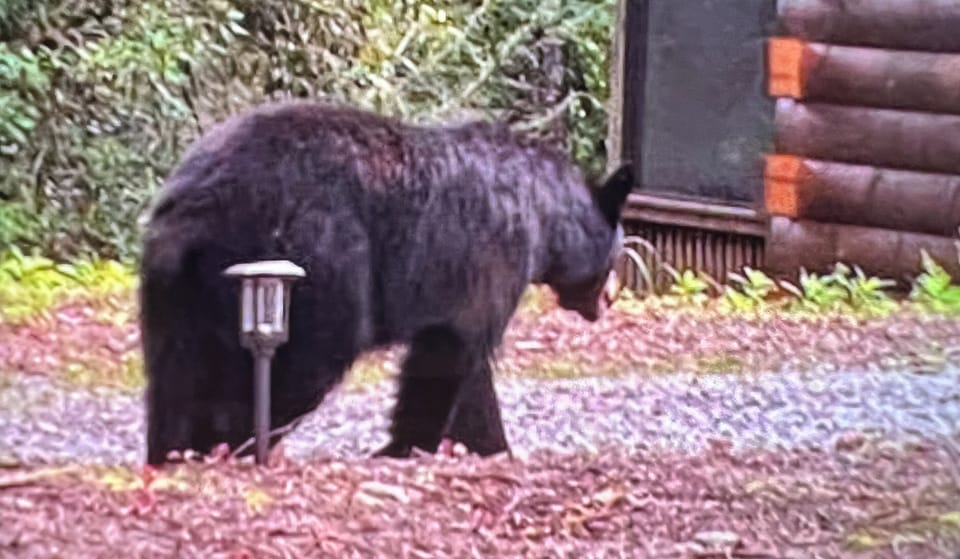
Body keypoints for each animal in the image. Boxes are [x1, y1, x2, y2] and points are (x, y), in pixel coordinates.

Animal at [139, 99, 633, 465]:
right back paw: (233, 441)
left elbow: (470, 372)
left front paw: (491, 445)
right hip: (318, 255)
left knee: (173, 370)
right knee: (309, 358)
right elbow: (450, 349)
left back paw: (172, 450)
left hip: (174, 286)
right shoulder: (493, 254)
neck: (546, 217)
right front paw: (405, 445)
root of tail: (198, 205)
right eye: (618, 256)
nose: (609, 299)